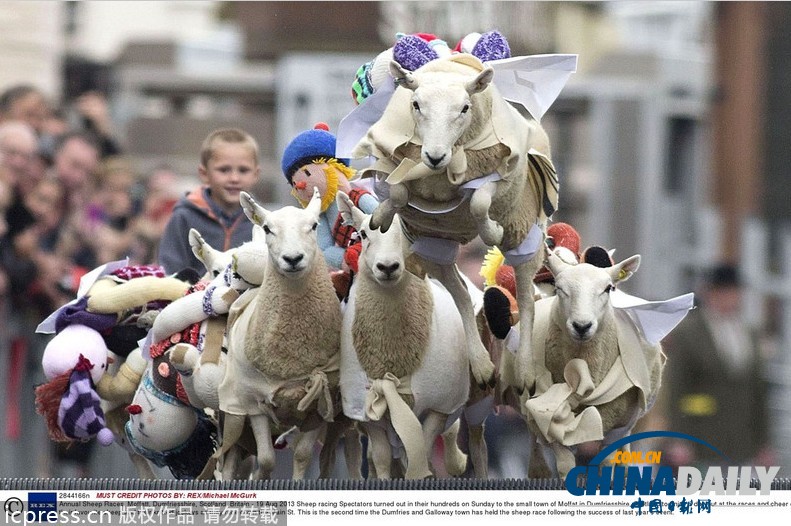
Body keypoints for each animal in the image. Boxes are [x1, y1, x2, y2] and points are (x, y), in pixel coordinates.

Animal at [213, 190, 344, 482]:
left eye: (314, 226)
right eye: (267, 228)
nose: (293, 259)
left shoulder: (319, 402)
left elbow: (303, 455)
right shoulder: (253, 402)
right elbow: (267, 460)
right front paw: (258, 479)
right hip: (232, 414)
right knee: (229, 459)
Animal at [336, 192, 470, 480]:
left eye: (409, 236)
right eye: (362, 234)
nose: (388, 267)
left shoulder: (437, 406)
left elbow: (421, 450)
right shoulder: (367, 412)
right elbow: (381, 457)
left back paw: (457, 462)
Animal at [356, 55, 560, 396]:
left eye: (465, 107)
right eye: (416, 104)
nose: (435, 156)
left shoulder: (500, 177)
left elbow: (478, 200)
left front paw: (491, 231)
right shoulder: (398, 171)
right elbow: (398, 192)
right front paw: (381, 217)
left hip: (523, 234)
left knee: (526, 300)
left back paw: (525, 372)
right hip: (435, 245)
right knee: (463, 295)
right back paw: (482, 368)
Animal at [502, 248, 668, 478]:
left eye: (608, 288)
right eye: (560, 288)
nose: (582, 326)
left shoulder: (615, 426)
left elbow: (607, 464)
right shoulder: (551, 421)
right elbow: (565, 465)